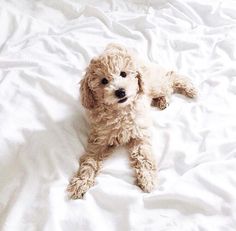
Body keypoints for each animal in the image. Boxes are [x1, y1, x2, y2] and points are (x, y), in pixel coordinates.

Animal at [67, 43, 197, 199]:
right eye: (104, 81)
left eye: (123, 74)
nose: (120, 92)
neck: (121, 111)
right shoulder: (98, 140)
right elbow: (89, 161)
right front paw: (81, 181)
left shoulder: (139, 134)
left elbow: (144, 157)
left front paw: (148, 179)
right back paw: (162, 100)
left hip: (153, 84)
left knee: (170, 78)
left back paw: (188, 89)